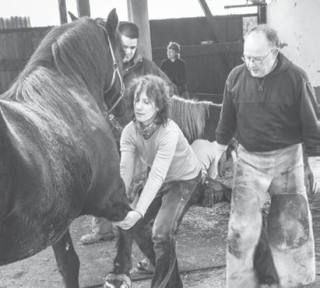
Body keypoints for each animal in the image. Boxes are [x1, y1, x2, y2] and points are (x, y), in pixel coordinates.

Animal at [0, 9, 131, 288]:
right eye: (123, 55)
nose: (125, 106)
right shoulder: (110, 196)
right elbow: (133, 223)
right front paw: (120, 271)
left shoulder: (56, 219)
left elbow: (69, 264)